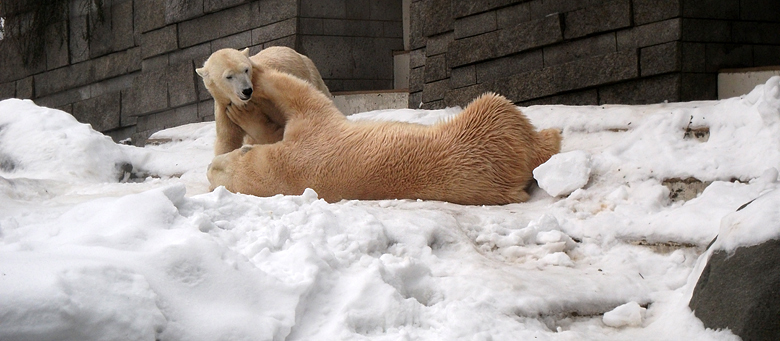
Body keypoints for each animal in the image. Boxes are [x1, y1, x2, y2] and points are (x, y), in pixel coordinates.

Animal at [198, 46, 332, 154]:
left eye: (246, 69)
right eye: (229, 76)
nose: (247, 90)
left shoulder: (269, 99)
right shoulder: (224, 106)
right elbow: (227, 140)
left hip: (310, 74)